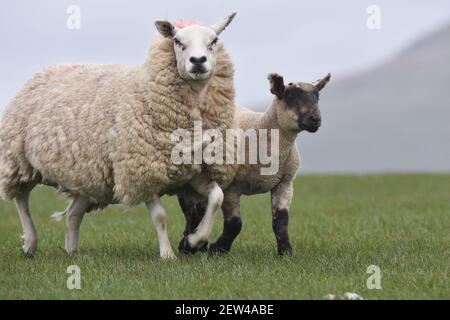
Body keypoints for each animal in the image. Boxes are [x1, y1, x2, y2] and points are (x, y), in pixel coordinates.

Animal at [0, 11, 237, 260]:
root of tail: (46, 70)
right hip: (19, 160)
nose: (198, 61)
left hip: (87, 174)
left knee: (74, 212)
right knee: (21, 199)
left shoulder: (194, 173)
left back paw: (72, 251)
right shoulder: (141, 172)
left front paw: (195, 240)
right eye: (177, 41)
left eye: (214, 41)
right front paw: (167, 254)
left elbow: (217, 197)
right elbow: (160, 217)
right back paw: (30, 242)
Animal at [177, 72, 330, 255]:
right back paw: (189, 245)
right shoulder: (231, 189)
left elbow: (281, 221)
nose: (316, 119)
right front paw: (218, 249)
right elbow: (235, 224)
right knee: (190, 210)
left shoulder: (285, 183)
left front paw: (285, 252)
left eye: (317, 97)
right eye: (290, 97)